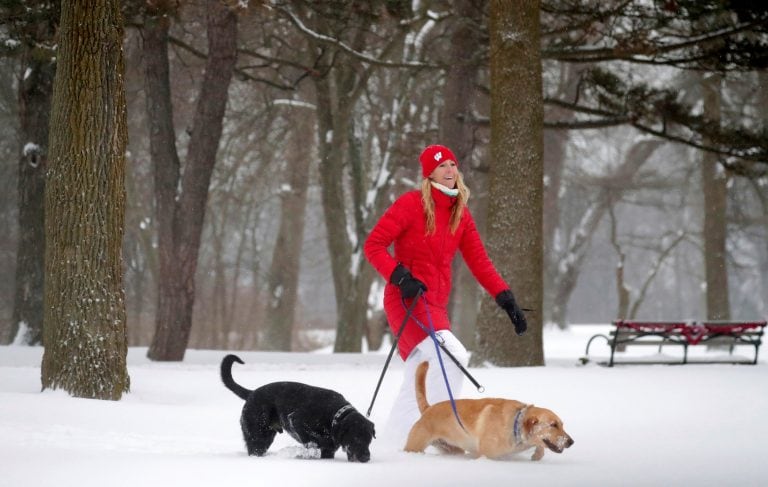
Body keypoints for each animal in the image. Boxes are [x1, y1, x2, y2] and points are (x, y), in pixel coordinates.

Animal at [219, 354, 376, 462]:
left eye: (369, 439)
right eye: (356, 437)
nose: (366, 457)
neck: (334, 416)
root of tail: (251, 393)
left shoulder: (328, 450)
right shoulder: (296, 420)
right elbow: (315, 440)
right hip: (258, 436)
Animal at [404, 362, 572, 462]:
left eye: (562, 425)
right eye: (553, 425)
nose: (571, 442)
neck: (515, 427)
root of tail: (428, 408)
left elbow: (540, 446)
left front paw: (537, 455)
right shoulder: (486, 454)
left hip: (452, 448)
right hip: (414, 446)